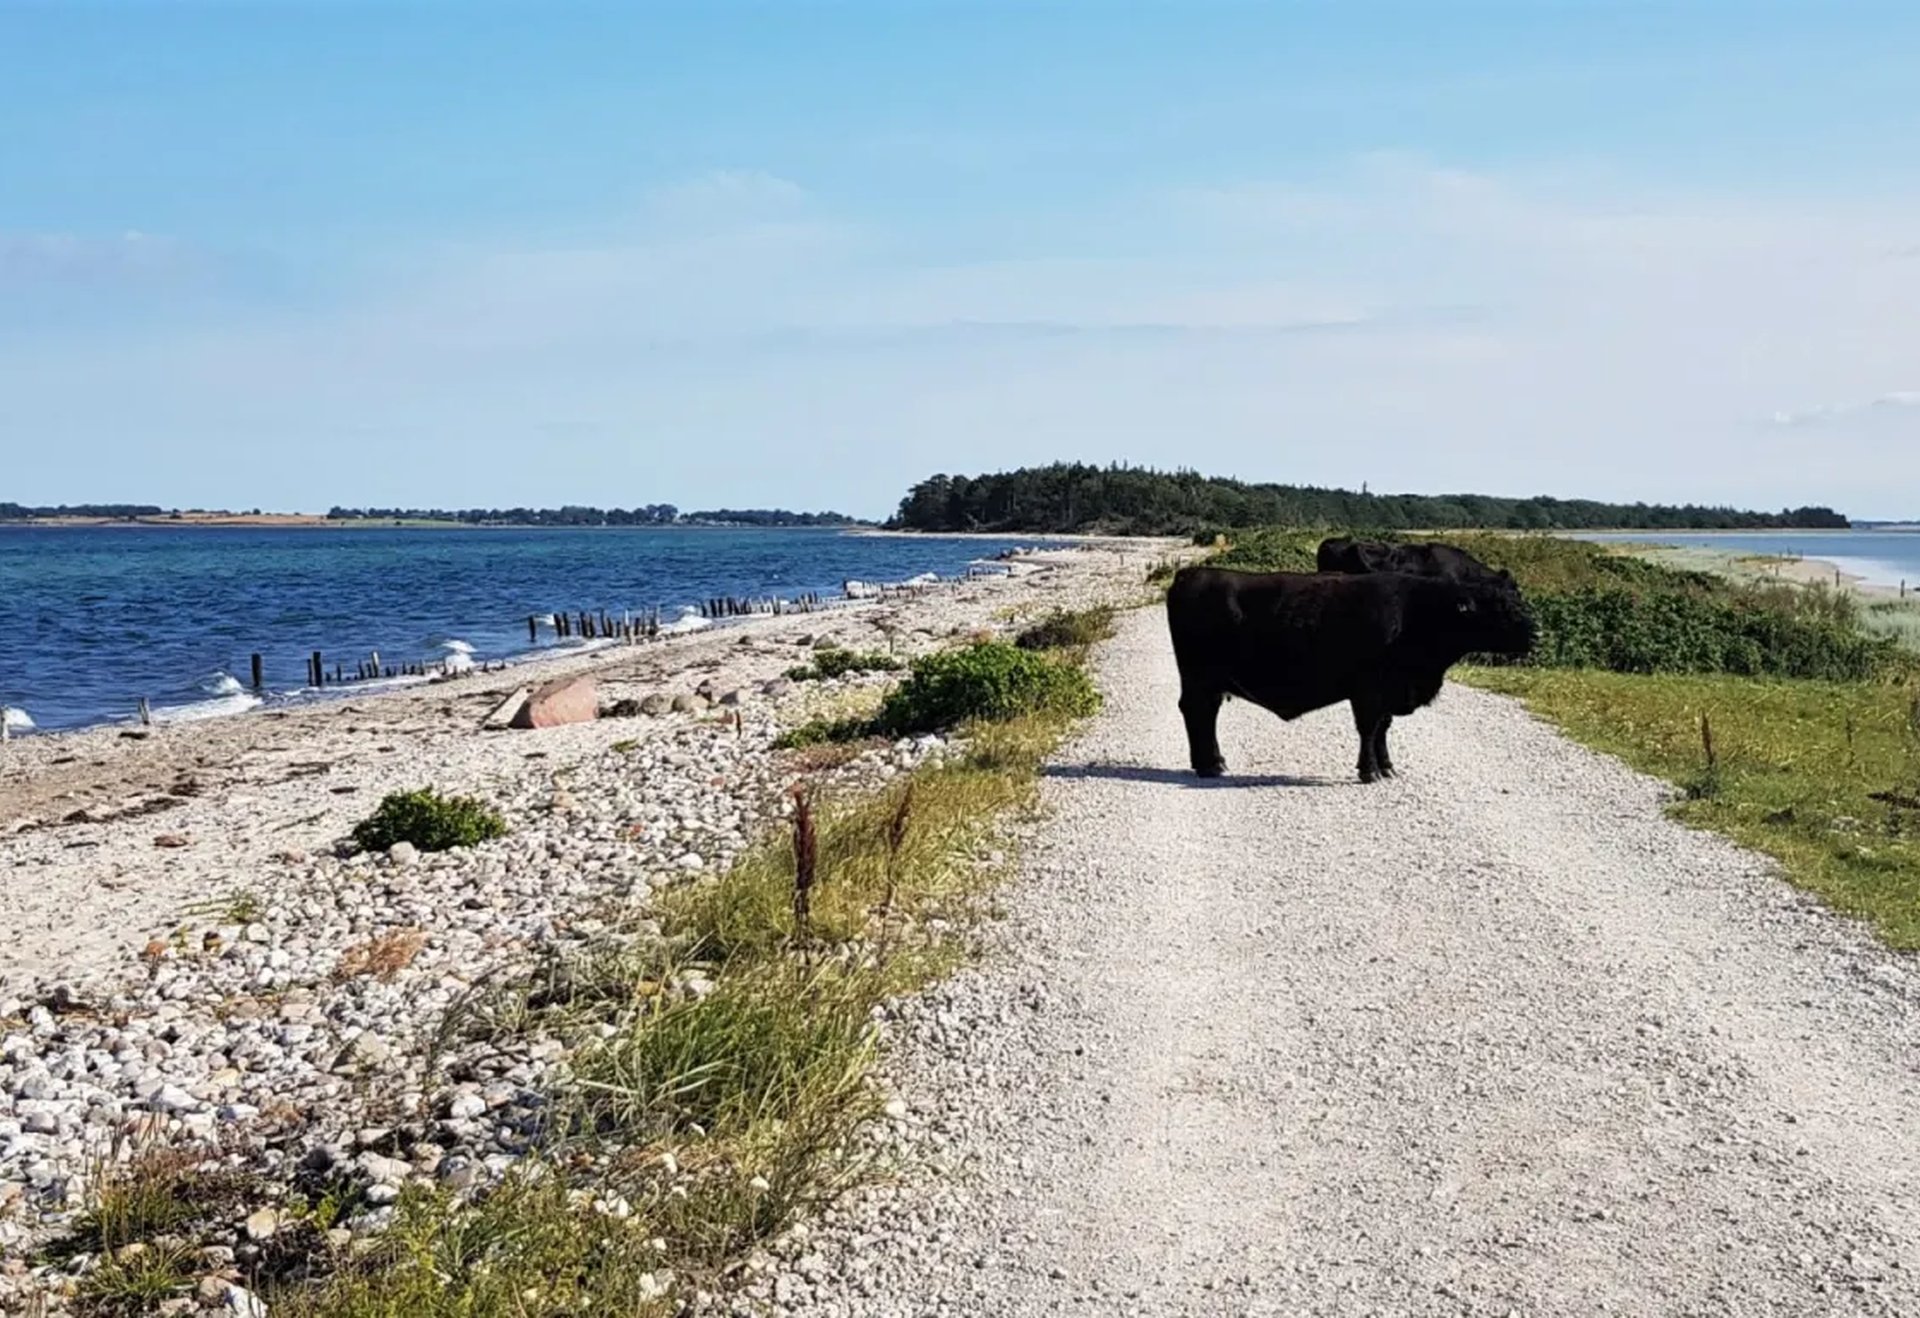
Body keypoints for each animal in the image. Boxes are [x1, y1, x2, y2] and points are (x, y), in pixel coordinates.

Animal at [1165, 566, 1536, 783]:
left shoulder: (1389, 692)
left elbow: (1383, 728)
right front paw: (1369, 771)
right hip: (1200, 678)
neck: (1416, 612)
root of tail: (1191, 574)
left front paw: (1387, 767)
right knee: (1198, 713)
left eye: (1518, 598)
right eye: (1498, 608)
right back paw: (1211, 765)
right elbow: (1369, 729)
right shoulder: (1368, 691)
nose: (1537, 633)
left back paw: (1212, 762)